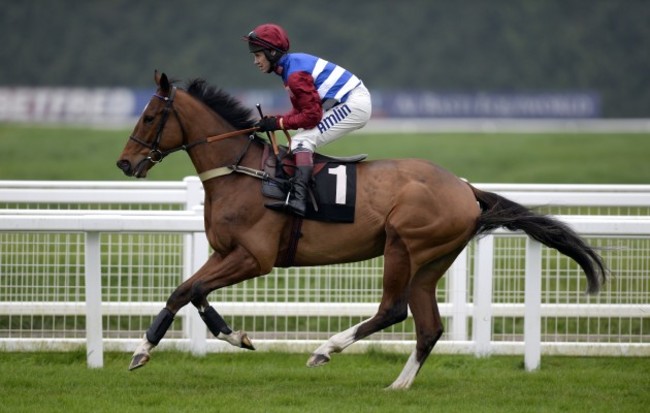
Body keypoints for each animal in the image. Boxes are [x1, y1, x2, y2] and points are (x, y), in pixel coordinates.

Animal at [116, 71, 606, 389]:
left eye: (148, 117)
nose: (125, 163)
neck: (243, 173)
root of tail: (466, 188)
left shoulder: (255, 258)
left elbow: (190, 290)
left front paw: (177, 345)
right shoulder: (225, 253)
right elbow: (189, 291)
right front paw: (201, 340)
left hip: (402, 245)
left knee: (393, 310)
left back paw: (326, 349)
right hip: (432, 261)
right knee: (428, 327)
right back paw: (398, 386)